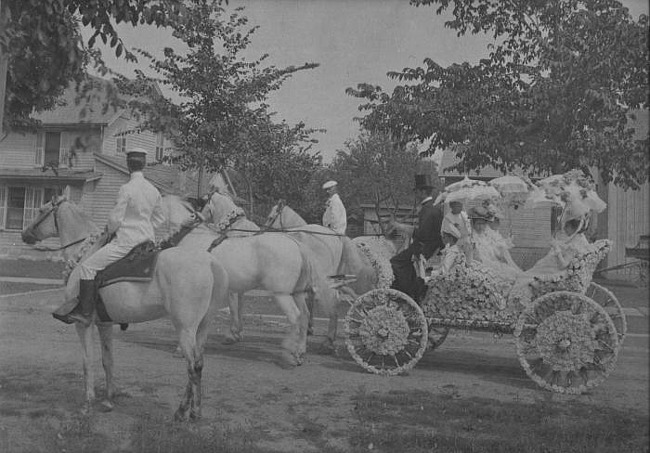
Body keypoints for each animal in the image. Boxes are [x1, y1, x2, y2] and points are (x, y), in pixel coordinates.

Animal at [20, 192, 228, 420]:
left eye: (41, 210)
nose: (24, 234)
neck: (84, 252)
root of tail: (209, 262)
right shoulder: (104, 324)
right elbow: (107, 360)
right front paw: (109, 399)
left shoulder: (83, 324)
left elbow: (87, 361)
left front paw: (87, 404)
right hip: (203, 327)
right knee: (199, 363)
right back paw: (194, 412)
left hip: (185, 328)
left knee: (192, 367)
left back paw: (182, 412)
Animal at [162, 195, 314, 364]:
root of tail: (297, 245)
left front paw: (181, 349)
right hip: (297, 293)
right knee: (305, 316)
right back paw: (300, 351)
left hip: (282, 294)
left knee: (295, 317)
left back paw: (289, 352)